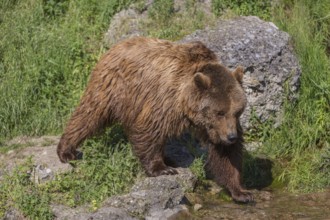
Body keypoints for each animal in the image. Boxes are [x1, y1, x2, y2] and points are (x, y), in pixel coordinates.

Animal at [57, 36, 253, 203]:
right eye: (220, 112)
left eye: (237, 111)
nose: (231, 136)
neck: (185, 101)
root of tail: (115, 46)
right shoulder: (162, 100)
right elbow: (151, 130)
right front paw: (162, 169)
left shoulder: (211, 126)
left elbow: (226, 155)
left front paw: (241, 192)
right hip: (114, 87)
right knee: (90, 114)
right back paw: (66, 150)